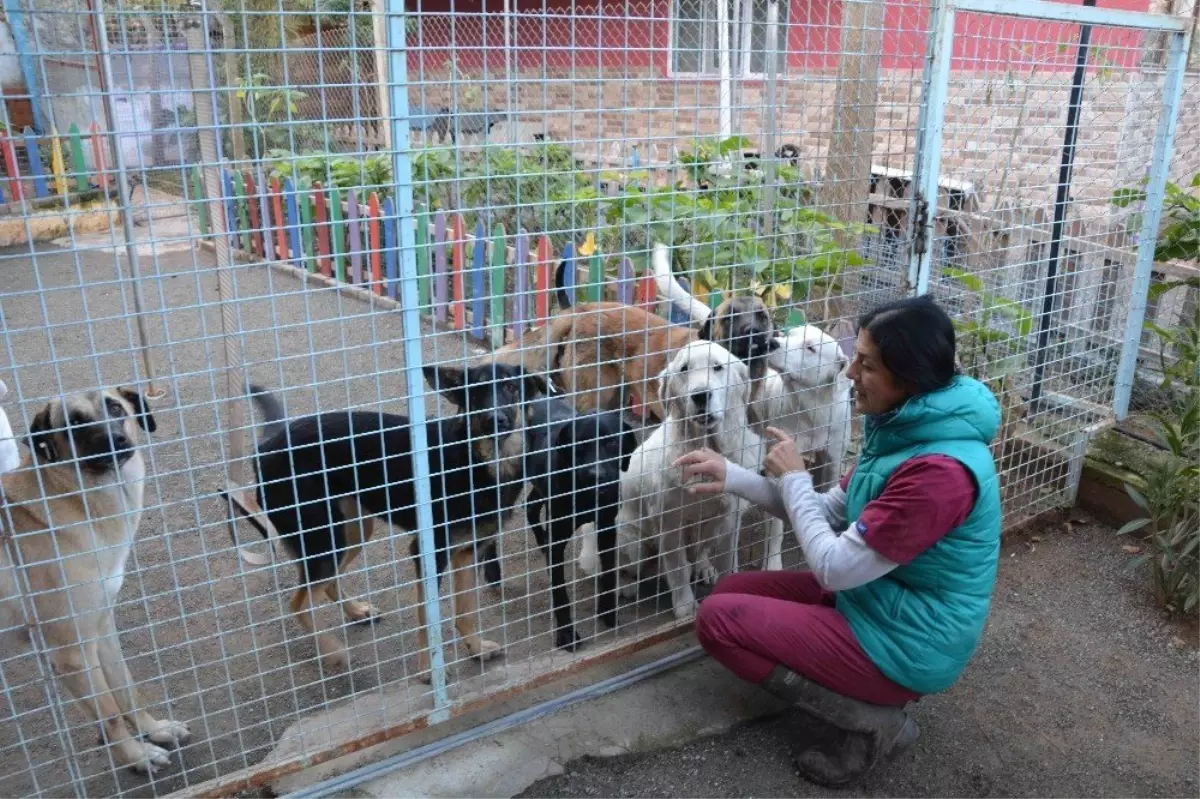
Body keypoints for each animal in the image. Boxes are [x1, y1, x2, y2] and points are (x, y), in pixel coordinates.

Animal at [0, 386, 189, 772]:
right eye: (73, 423)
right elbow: (110, 713)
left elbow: (126, 689)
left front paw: (154, 730)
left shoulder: (101, 625)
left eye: (115, 408)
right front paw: (137, 756)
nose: (115, 441)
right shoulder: (71, 654)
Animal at [234, 364, 544, 676]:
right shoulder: (428, 554)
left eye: (512, 387)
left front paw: (476, 648)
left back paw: (357, 612)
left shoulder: (468, 552)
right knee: (299, 602)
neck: (478, 459)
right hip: (325, 538)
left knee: (327, 583)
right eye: (476, 391)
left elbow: (466, 610)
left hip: (352, 531)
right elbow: (427, 617)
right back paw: (333, 652)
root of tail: (266, 448)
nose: (496, 419)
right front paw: (428, 671)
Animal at [609, 338, 758, 614]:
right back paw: (626, 586)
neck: (705, 447)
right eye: (684, 369)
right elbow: (677, 568)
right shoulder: (669, 521)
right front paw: (686, 609)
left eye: (717, 367)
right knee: (620, 567)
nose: (700, 395)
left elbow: (727, 559)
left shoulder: (730, 516)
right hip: (630, 538)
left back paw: (703, 567)